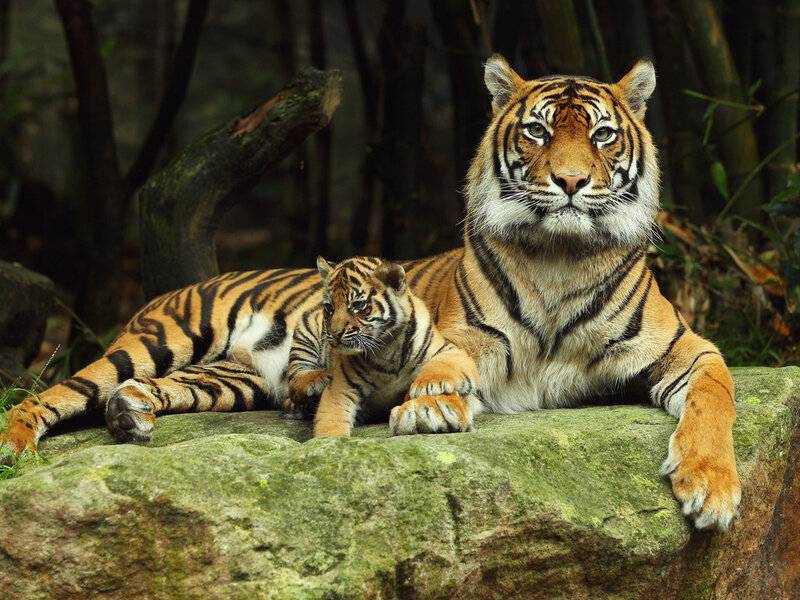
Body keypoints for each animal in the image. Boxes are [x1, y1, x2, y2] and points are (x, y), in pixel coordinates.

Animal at [286, 256, 479, 437]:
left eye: (358, 305)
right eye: (329, 308)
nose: (335, 332)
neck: (386, 348)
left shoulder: (451, 351)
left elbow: (442, 365)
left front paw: (427, 385)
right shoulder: (341, 387)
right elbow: (331, 419)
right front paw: (331, 441)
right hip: (306, 332)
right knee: (293, 380)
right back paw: (320, 378)